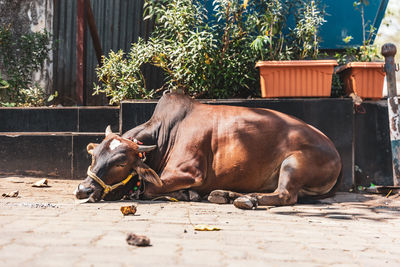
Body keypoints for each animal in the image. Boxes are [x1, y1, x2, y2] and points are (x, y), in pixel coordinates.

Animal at [74, 92, 340, 209]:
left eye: (121, 163)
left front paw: (186, 194)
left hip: (293, 164)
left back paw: (246, 199)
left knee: (285, 195)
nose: (83, 189)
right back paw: (226, 194)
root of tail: (335, 153)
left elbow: (150, 187)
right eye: (93, 155)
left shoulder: (190, 172)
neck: (165, 135)